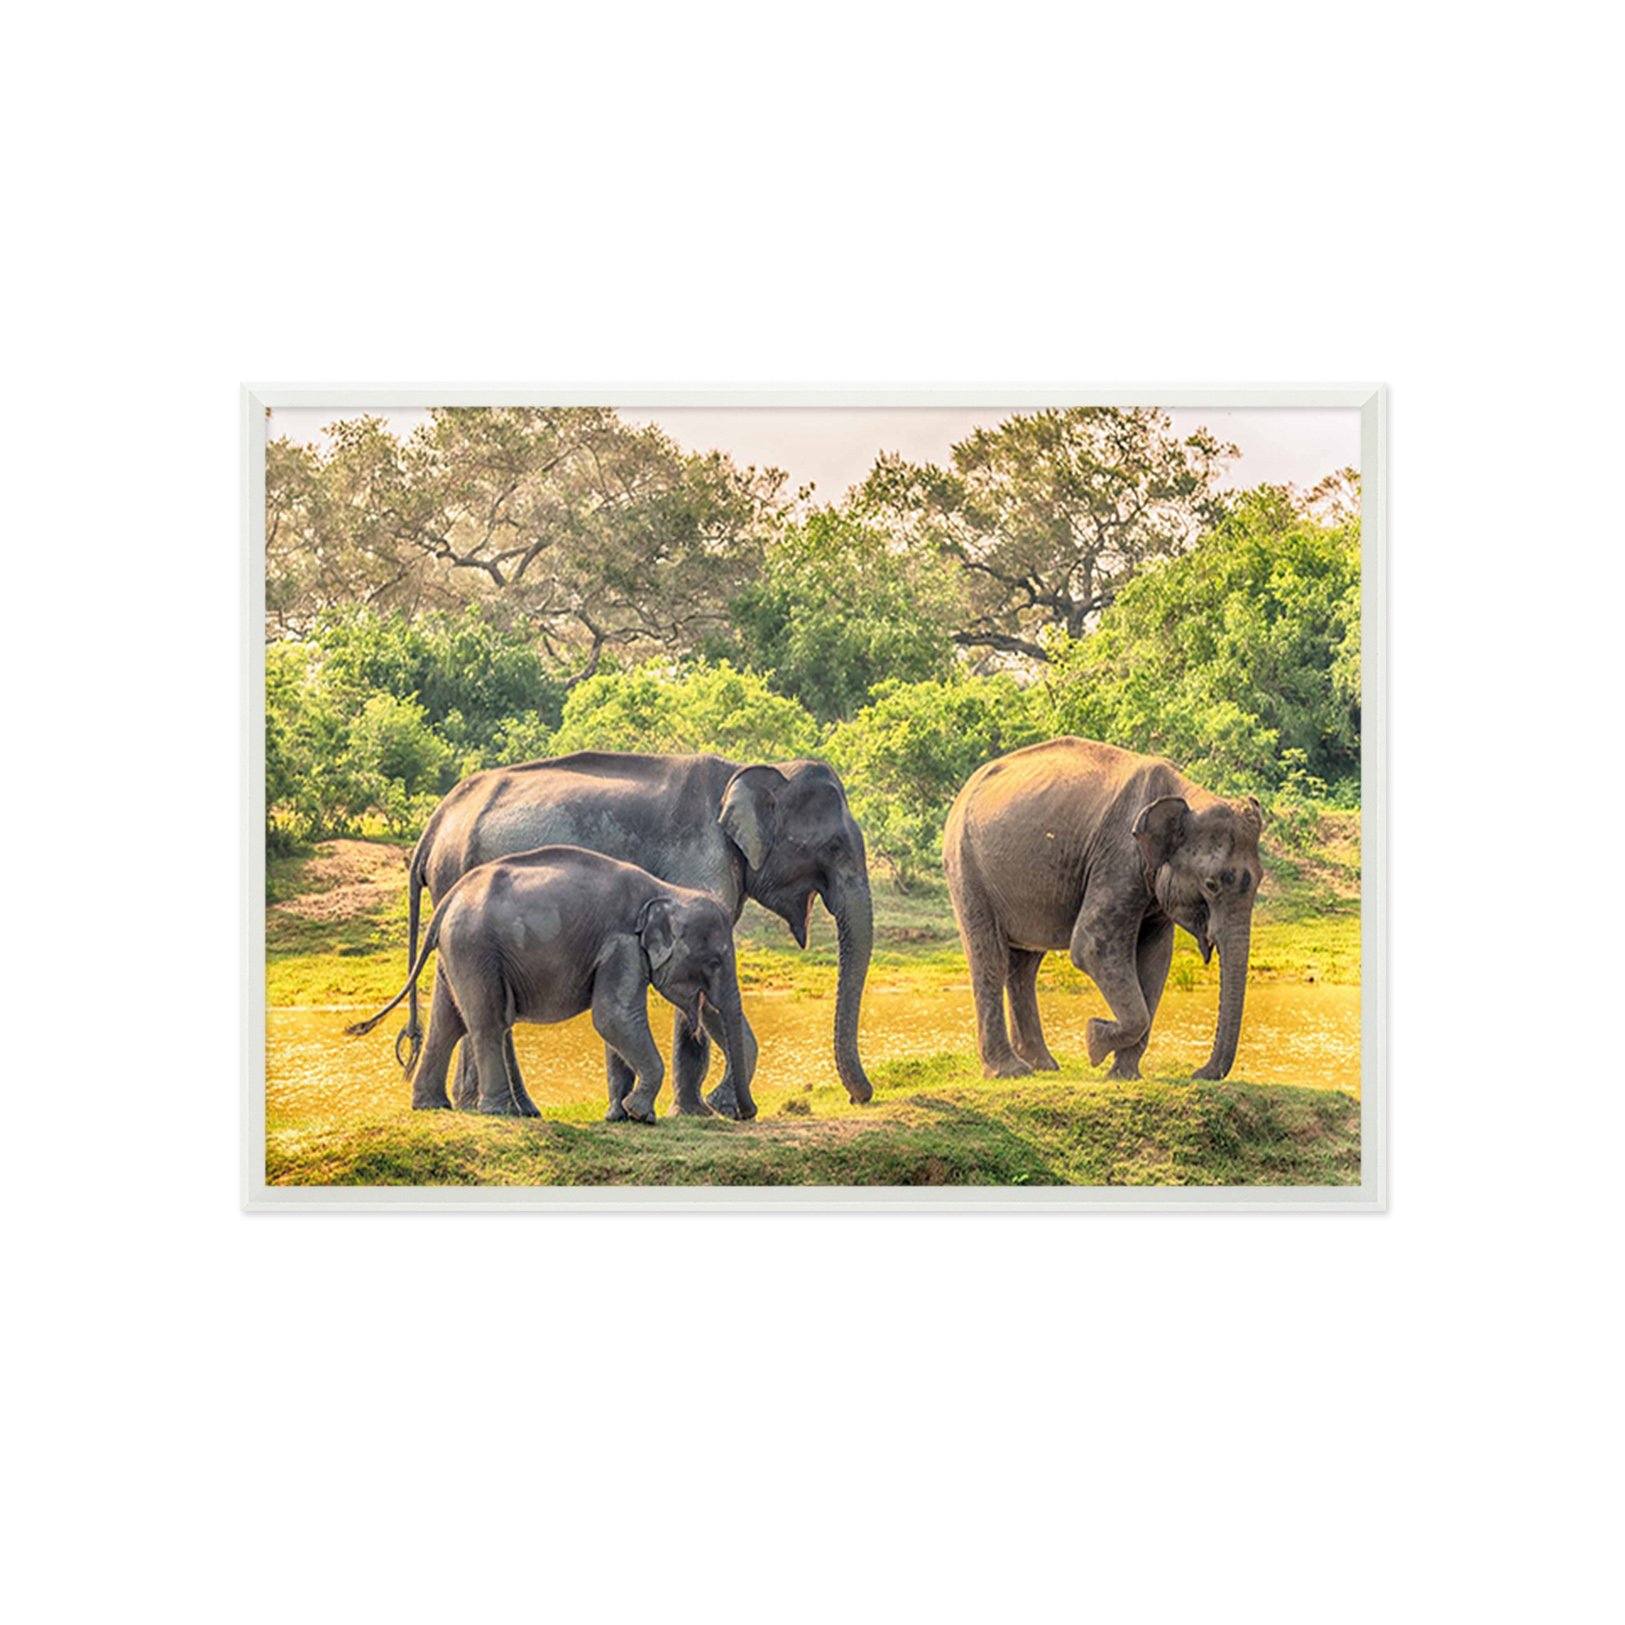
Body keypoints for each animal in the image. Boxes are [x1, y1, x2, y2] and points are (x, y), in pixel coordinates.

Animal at [346, 845, 755, 1123]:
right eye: (715, 961)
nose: (745, 1113)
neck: (665, 890)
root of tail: (447, 900)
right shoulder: (621, 944)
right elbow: (614, 1017)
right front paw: (640, 1114)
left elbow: (615, 1025)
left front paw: (622, 1116)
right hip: (475, 948)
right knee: (488, 1022)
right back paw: (501, 1112)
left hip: (457, 952)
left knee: (448, 1023)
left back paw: (432, 1106)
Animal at [401, 751, 874, 1117]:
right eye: (833, 848)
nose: (860, 1098)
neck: (750, 769)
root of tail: (434, 824)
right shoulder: (700, 860)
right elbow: (700, 996)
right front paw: (701, 1111)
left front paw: (707, 1107)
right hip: (460, 883)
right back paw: (512, 1109)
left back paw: (470, 1105)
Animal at [943, 737, 1264, 1082]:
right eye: (1211, 884)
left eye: (1260, 879)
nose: (1198, 1073)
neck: (1186, 794)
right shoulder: (1119, 857)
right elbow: (1092, 946)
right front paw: (1094, 1040)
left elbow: (1155, 959)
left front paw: (1123, 1074)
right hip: (966, 868)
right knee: (990, 957)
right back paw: (1010, 1072)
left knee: (1024, 964)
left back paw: (1043, 1065)